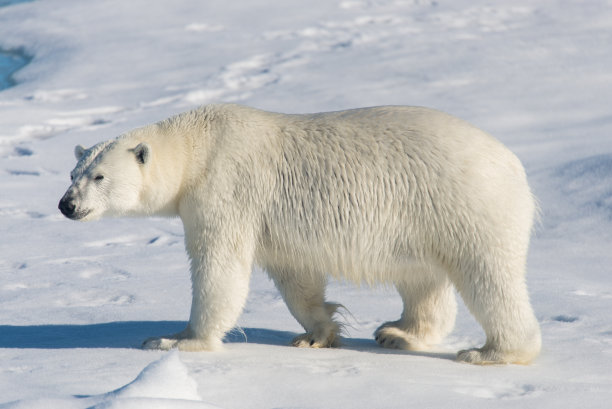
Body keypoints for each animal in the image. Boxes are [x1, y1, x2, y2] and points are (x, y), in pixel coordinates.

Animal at [58, 104, 540, 364]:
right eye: (73, 173)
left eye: (99, 176)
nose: (67, 205)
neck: (199, 144)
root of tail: (515, 165)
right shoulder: (275, 225)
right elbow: (297, 277)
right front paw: (317, 333)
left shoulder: (225, 189)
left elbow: (220, 268)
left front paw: (176, 339)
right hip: (423, 221)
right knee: (422, 279)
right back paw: (398, 333)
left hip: (467, 205)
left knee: (489, 277)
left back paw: (491, 352)